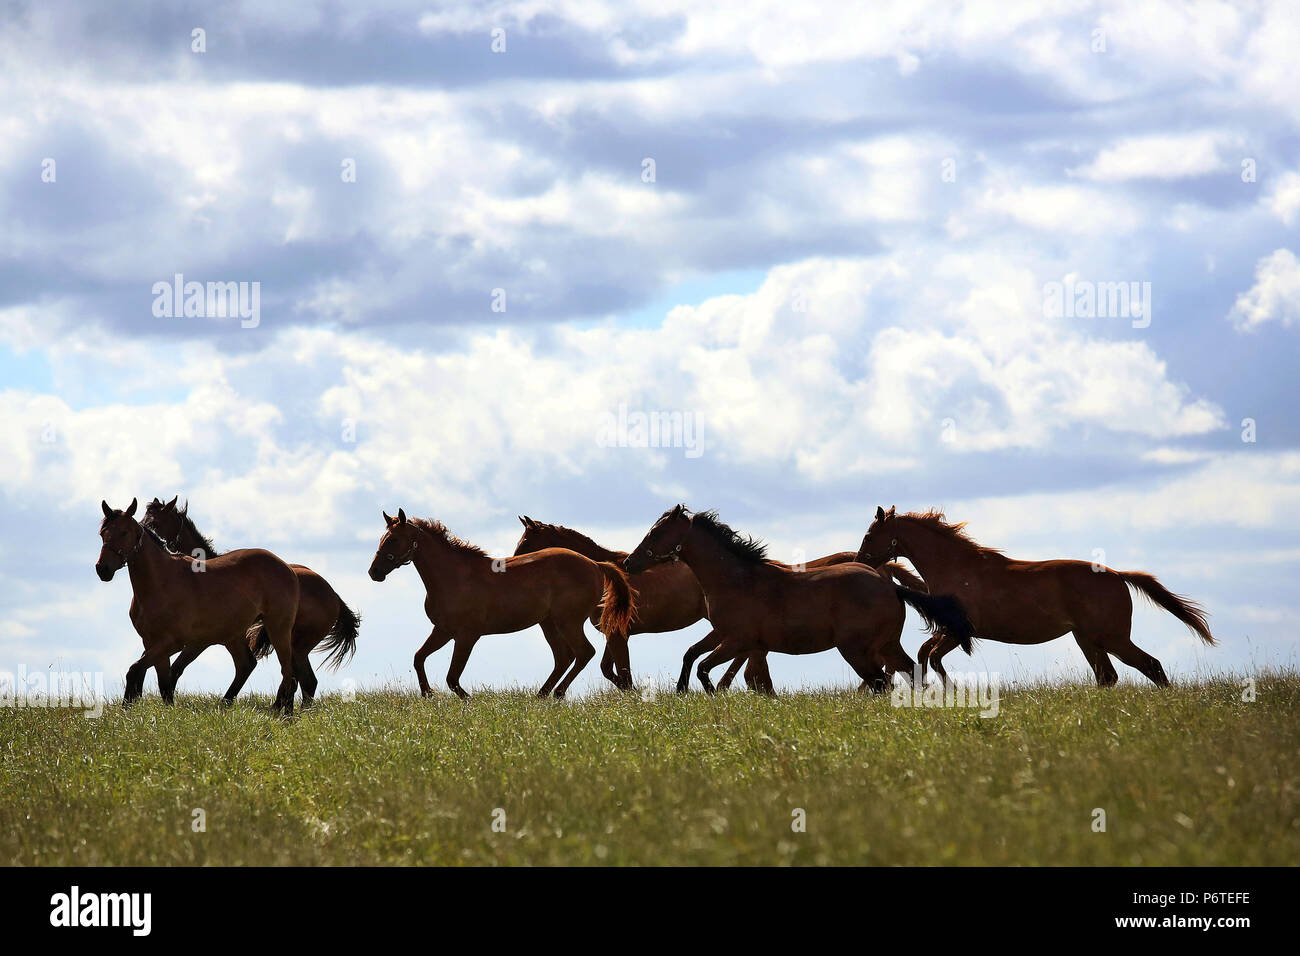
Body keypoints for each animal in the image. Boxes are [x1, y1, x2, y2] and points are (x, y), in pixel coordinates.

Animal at [95, 499, 304, 713]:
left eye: (124, 532)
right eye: (102, 533)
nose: (103, 569)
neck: (161, 582)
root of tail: (288, 568)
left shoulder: (174, 643)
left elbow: (137, 670)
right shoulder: (152, 642)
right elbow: (163, 683)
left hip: (278, 628)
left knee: (288, 674)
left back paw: (283, 713)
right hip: (234, 635)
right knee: (247, 665)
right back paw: (226, 705)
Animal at [143, 496, 360, 706]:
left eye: (155, 522)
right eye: (145, 519)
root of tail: (334, 597)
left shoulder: (201, 641)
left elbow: (175, 668)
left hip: (297, 646)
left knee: (300, 679)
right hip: (297, 647)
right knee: (304, 681)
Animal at [367, 509, 635, 699]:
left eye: (393, 540)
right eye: (382, 538)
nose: (374, 572)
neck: (454, 576)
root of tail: (595, 564)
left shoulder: (467, 636)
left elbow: (452, 678)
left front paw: (469, 701)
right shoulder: (442, 630)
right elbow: (419, 658)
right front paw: (427, 694)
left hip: (567, 622)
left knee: (583, 653)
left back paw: (557, 694)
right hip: (549, 624)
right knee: (564, 657)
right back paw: (541, 696)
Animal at [623, 505, 974, 696]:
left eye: (656, 532)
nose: (628, 563)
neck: (736, 579)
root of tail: (890, 587)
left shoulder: (737, 640)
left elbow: (705, 668)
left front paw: (712, 698)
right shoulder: (723, 634)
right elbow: (691, 655)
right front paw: (681, 693)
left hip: (856, 650)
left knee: (880, 683)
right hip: (886, 645)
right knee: (908, 673)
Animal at [854, 506, 1215, 686]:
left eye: (870, 535)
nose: (859, 562)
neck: (957, 568)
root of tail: (1117, 575)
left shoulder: (959, 632)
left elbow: (931, 656)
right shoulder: (949, 630)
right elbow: (925, 655)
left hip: (1111, 638)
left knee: (1150, 666)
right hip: (1087, 639)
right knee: (1107, 677)